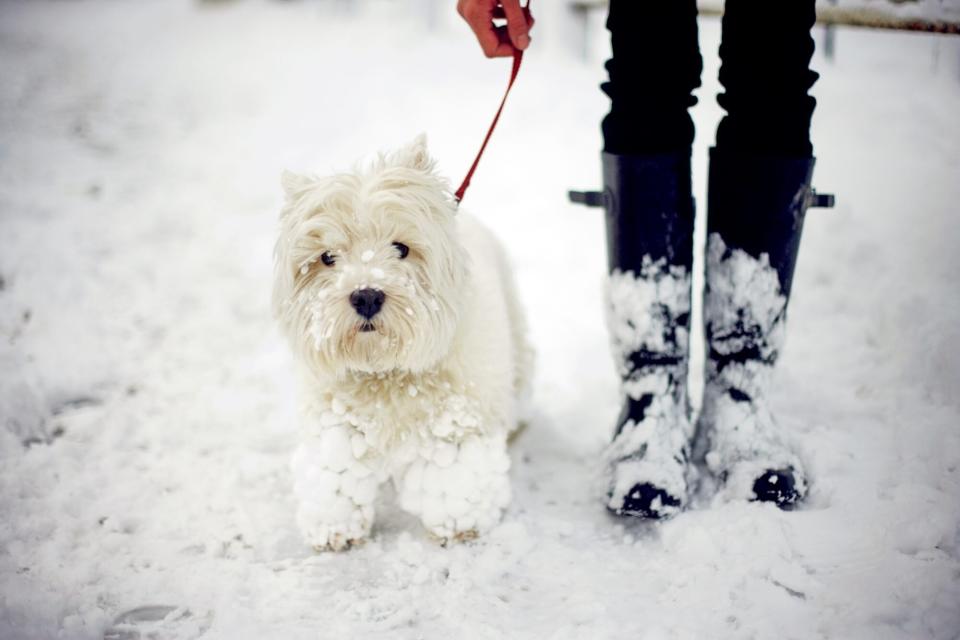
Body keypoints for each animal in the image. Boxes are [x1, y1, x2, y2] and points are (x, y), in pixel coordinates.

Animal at [274, 135, 532, 552]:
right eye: (327, 257)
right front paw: (333, 527)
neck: (385, 372)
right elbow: (335, 475)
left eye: (401, 248)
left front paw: (459, 524)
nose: (366, 296)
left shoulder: (454, 421)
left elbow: (455, 476)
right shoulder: (335, 420)